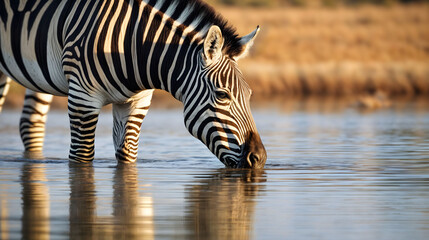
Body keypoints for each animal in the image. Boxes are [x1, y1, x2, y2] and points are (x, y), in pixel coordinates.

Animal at [0, 0, 266, 169]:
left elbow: (127, 154)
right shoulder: (82, 98)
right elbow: (81, 157)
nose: (260, 159)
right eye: (223, 95)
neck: (133, 46)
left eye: (249, 95)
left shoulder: (136, 102)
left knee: (31, 123)